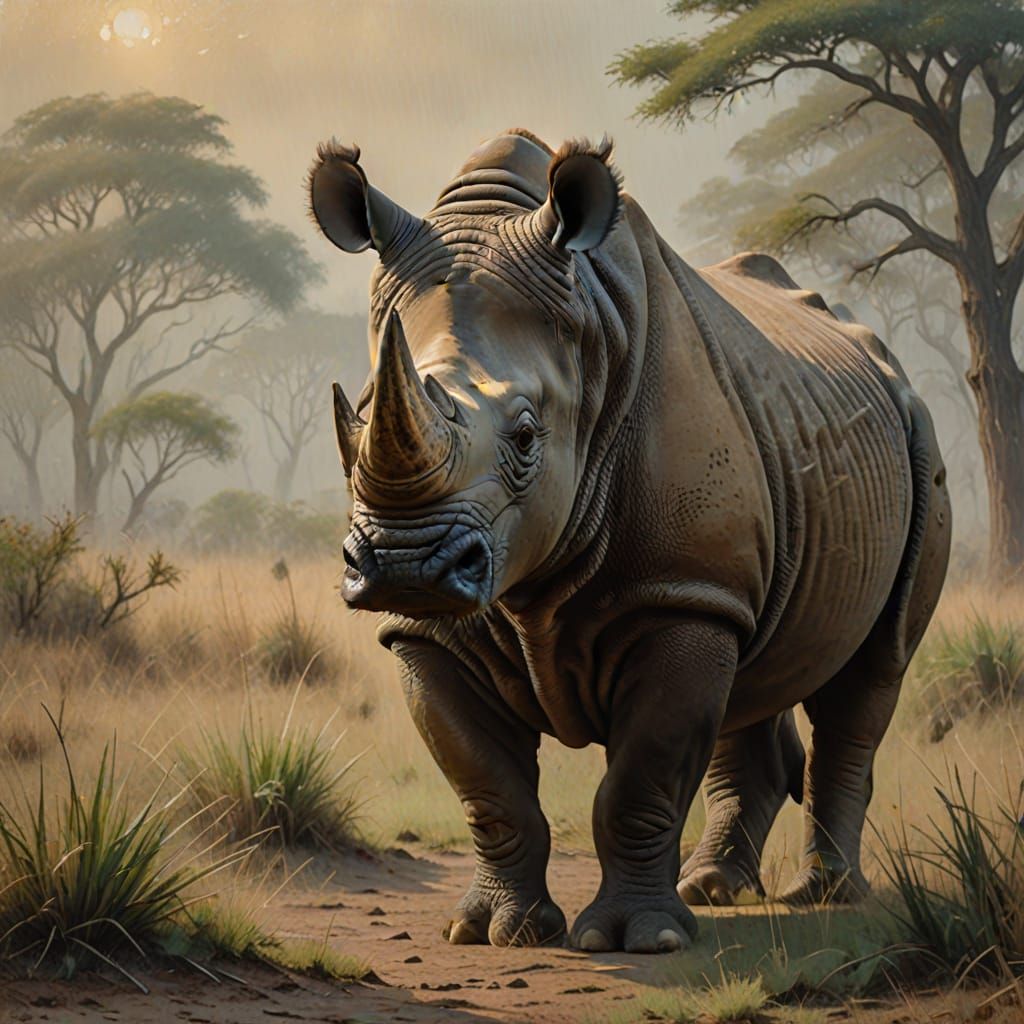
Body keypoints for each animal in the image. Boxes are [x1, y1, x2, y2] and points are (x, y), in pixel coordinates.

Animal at [308, 130, 951, 954]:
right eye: (354, 421)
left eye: (527, 436)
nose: (402, 564)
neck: (590, 339)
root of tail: (885, 361)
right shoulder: (427, 633)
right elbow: (487, 784)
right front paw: (492, 932)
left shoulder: (678, 596)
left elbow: (642, 778)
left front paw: (639, 941)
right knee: (754, 663)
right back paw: (714, 889)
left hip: (917, 438)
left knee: (873, 668)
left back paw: (823, 894)